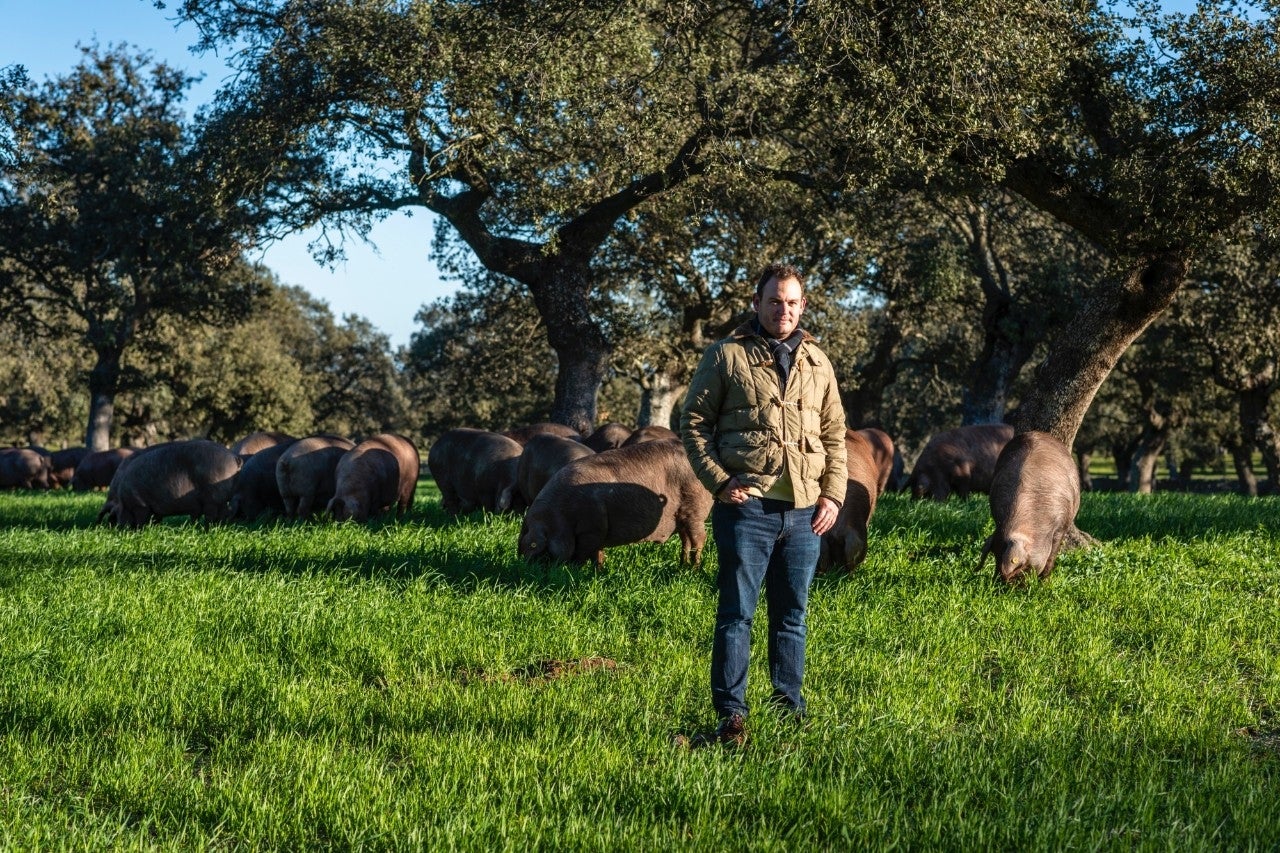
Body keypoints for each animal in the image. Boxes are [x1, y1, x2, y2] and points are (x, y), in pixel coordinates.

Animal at [97, 438, 241, 525]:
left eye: (115, 517)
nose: (115, 528)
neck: (122, 500)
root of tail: (234, 457)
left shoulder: (140, 505)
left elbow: (141, 520)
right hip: (219, 499)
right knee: (223, 513)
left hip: (213, 497)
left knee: (213, 514)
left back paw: (208, 528)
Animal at [522, 438, 721, 563]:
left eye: (536, 549)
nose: (527, 569)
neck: (561, 516)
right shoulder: (599, 531)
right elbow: (598, 554)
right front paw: (599, 572)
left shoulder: (591, 529)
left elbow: (582, 555)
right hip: (683, 517)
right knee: (686, 540)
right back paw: (682, 566)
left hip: (695, 509)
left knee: (699, 539)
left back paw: (694, 569)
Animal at [977, 427, 1080, 581]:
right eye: (995, 558)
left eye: (1021, 567)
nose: (998, 583)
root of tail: (1037, 432)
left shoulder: (1062, 523)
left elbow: (1052, 554)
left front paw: (1044, 581)